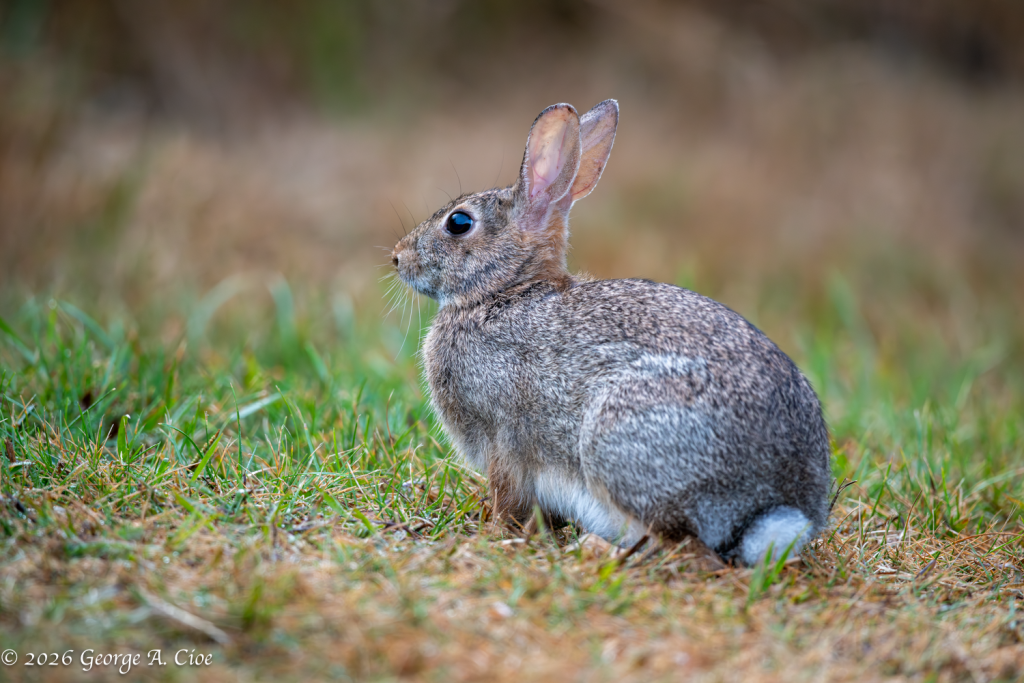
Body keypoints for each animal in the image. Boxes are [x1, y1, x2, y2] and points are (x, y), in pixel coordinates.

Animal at [390, 100, 832, 565]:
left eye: (459, 223)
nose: (397, 258)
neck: (506, 292)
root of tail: (776, 505)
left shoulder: (504, 439)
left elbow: (507, 494)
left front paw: (493, 535)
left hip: (616, 444)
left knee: (681, 548)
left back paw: (594, 549)